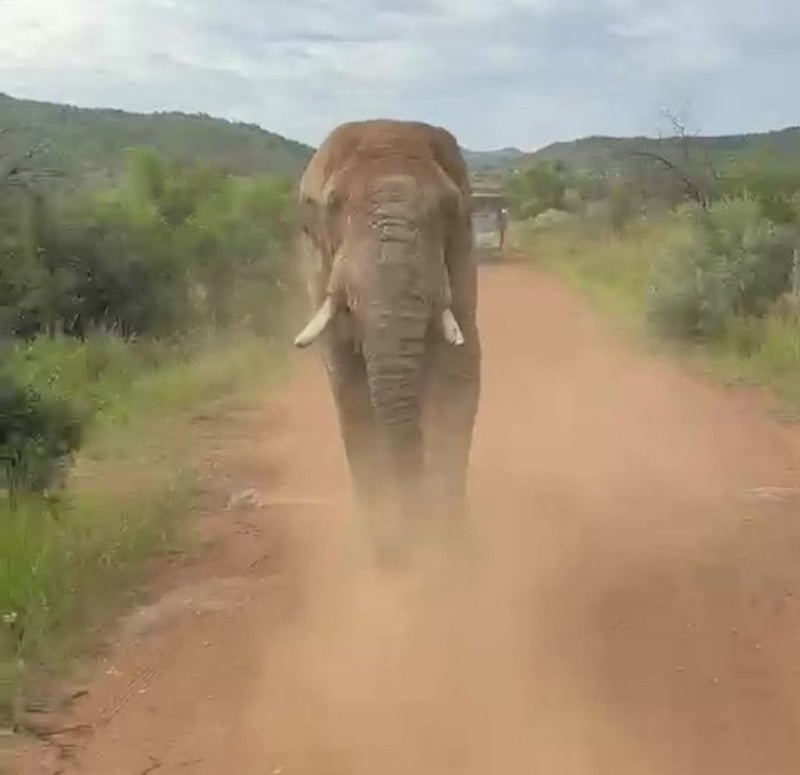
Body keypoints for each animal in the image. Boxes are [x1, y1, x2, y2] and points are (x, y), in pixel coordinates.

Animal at [292, 119, 481, 558]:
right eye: (332, 205)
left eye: (449, 208)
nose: (409, 540)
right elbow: (351, 395)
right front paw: (385, 553)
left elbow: (457, 386)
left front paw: (449, 551)